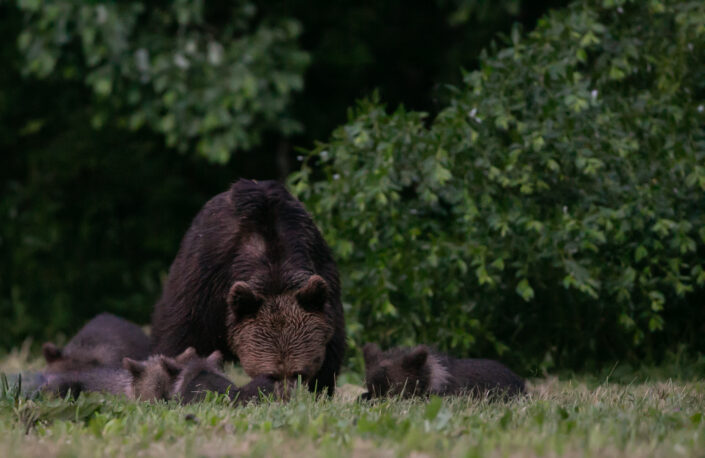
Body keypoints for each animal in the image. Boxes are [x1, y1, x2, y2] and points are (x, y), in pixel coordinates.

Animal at [151, 179, 344, 394]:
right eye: (270, 375)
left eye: (299, 373)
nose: (286, 396)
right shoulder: (205, 282)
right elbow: (182, 337)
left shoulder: (323, 279)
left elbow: (331, 353)